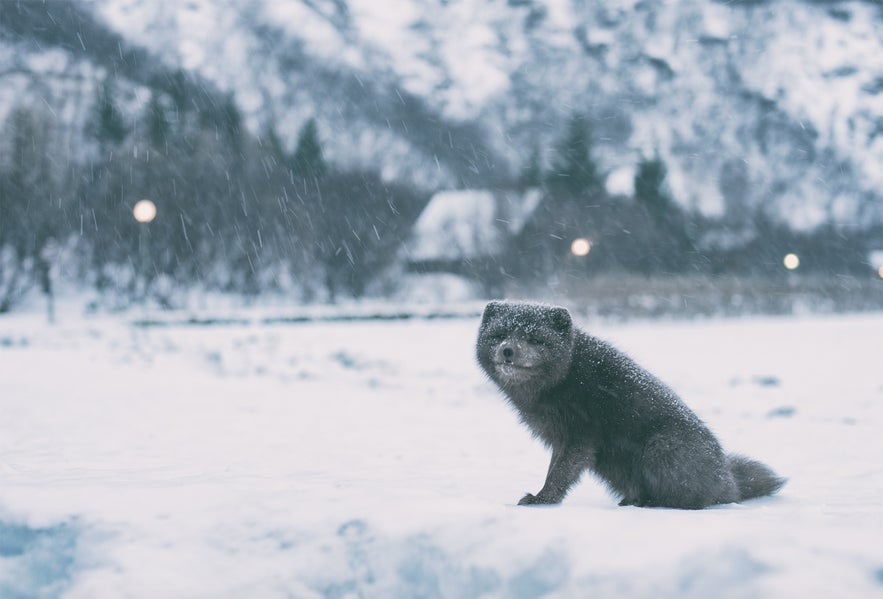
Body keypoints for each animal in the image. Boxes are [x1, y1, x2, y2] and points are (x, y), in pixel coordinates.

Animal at [476, 300, 786, 509]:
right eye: (499, 334)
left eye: (535, 339)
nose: (507, 351)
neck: (565, 377)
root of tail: (729, 480)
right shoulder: (561, 438)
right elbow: (555, 469)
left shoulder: (580, 436)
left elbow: (560, 474)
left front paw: (542, 500)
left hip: (661, 447)